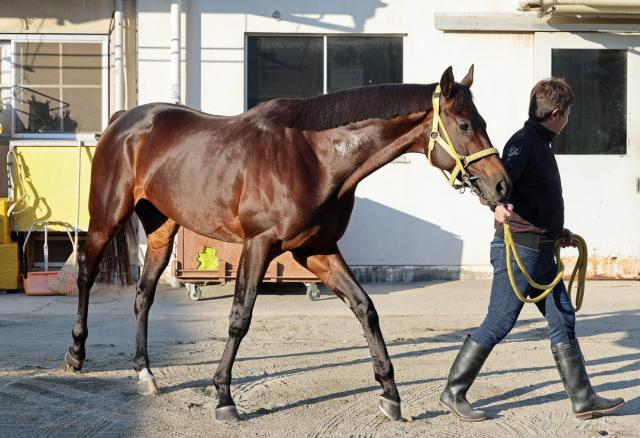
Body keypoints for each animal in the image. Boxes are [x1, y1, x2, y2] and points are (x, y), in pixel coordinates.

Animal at [63, 65, 512, 422]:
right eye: (466, 125)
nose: (502, 185)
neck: (313, 157)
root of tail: (123, 119)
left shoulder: (316, 250)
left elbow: (365, 308)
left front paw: (390, 395)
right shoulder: (259, 245)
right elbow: (240, 317)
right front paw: (224, 397)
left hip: (162, 228)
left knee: (144, 294)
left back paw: (144, 373)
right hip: (106, 218)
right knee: (86, 274)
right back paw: (76, 354)